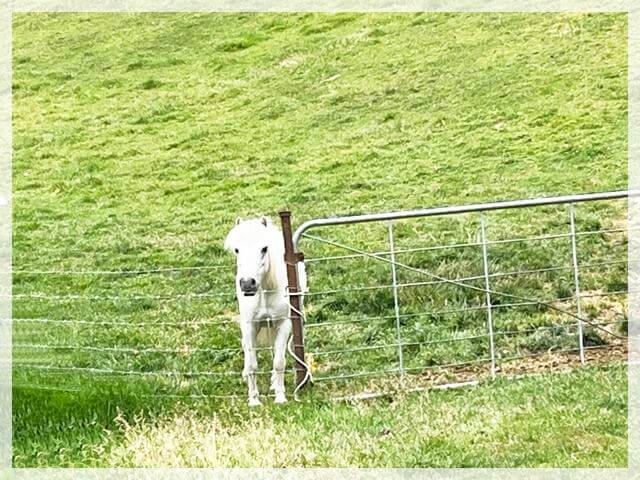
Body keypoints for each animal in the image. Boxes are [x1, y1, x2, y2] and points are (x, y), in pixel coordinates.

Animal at [224, 216, 306, 406]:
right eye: (237, 250)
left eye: (264, 248)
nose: (247, 283)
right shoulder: (249, 325)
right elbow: (252, 363)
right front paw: (254, 400)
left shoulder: (284, 324)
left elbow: (279, 362)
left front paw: (280, 397)